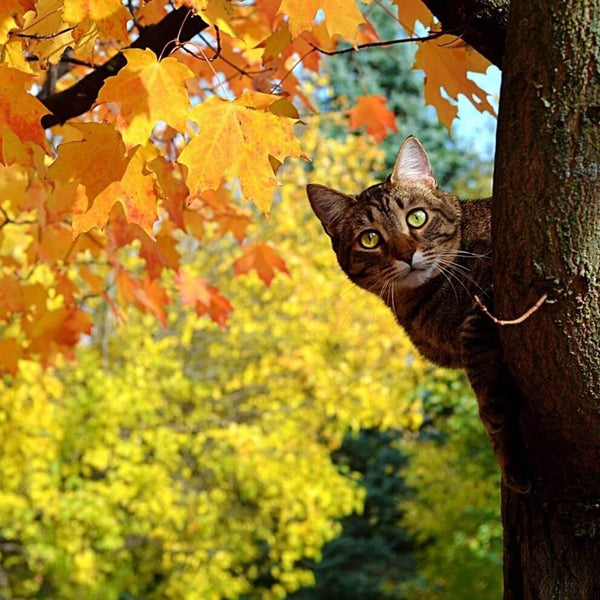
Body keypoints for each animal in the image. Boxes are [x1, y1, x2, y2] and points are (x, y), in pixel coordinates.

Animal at [310, 136, 528, 492]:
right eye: (369, 238)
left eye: (416, 218)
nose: (406, 254)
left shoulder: (487, 298)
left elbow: (487, 391)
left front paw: (510, 459)